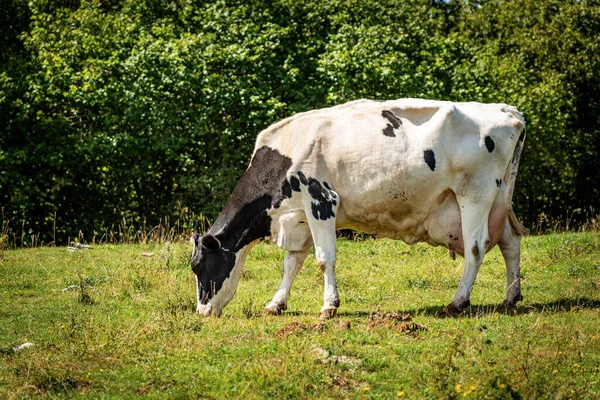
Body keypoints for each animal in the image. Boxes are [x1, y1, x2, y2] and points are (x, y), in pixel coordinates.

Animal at [191, 98, 524, 318]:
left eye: (198, 267)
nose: (202, 311)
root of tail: (506, 110)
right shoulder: (298, 217)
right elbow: (292, 263)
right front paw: (276, 303)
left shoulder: (321, 201)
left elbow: (324, 259)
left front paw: (329, 306)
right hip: (498, 198)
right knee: (510, 241)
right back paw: (511, 296)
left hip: (475, 193)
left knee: (476, 247)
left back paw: (457, 301)